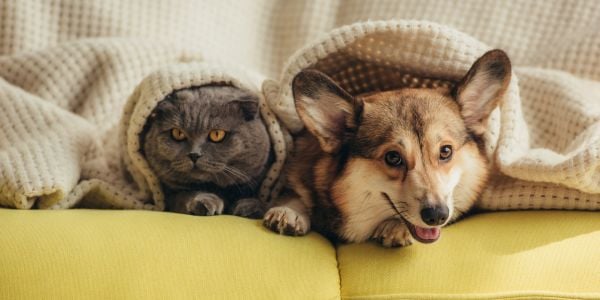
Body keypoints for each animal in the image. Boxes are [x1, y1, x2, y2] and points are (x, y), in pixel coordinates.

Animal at [141, 85, 272, 219]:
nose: (194, 154)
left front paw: (251, 207)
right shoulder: (170, 194)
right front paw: (205, 201)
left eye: (217, 134)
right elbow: (184, 195)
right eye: (177, 133)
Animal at [262, 49, 510, 246]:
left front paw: (395, 227)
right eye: (393, 157)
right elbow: (295, 193)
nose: (437, 215)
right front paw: (289, 211)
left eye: (446, 151)